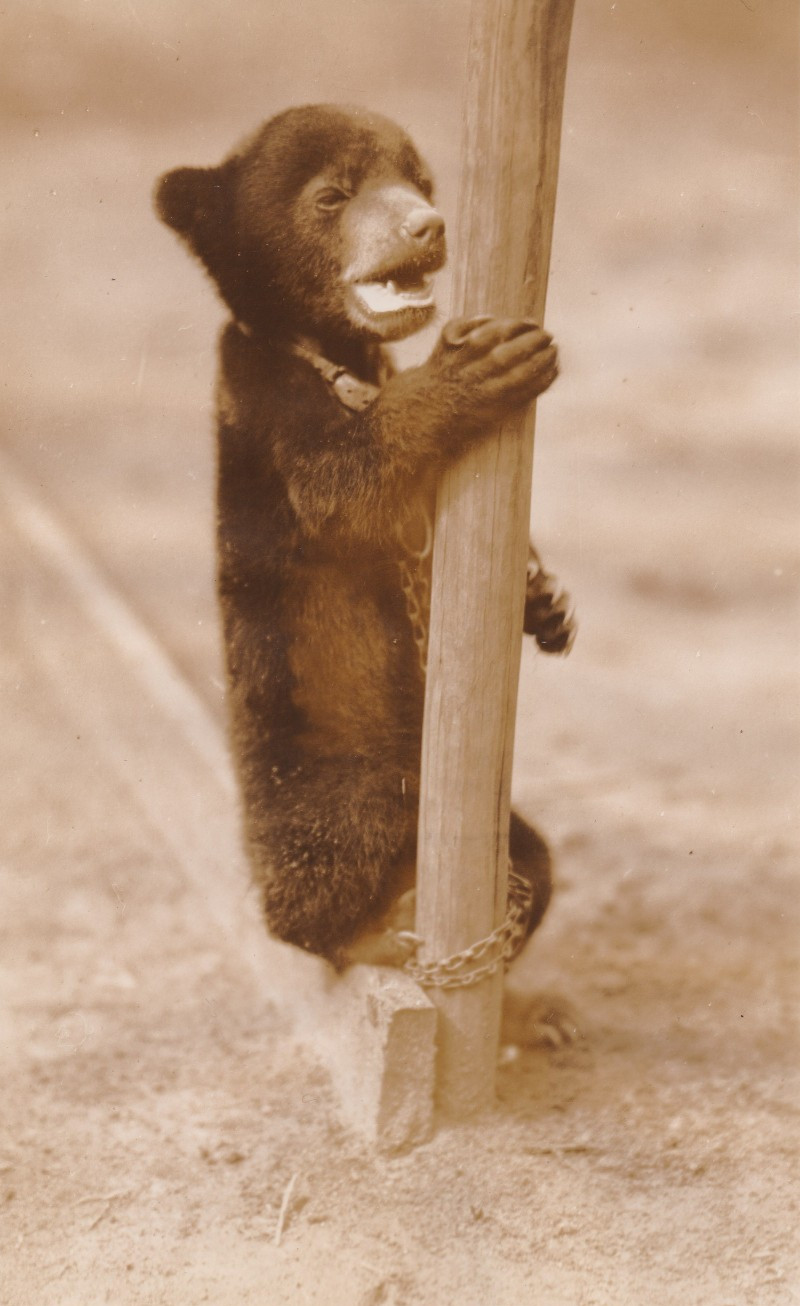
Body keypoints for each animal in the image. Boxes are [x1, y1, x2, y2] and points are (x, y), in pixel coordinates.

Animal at [155, 103, 575, 978]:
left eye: (420, 181)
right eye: (332, 196)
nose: (428, 228)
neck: (335, 349)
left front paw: (547, 602)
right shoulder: (264, 401)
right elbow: (346, 485)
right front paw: (482, 365)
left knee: (534, 853)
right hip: (331, 777)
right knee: (318, 881)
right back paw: (375, 928)